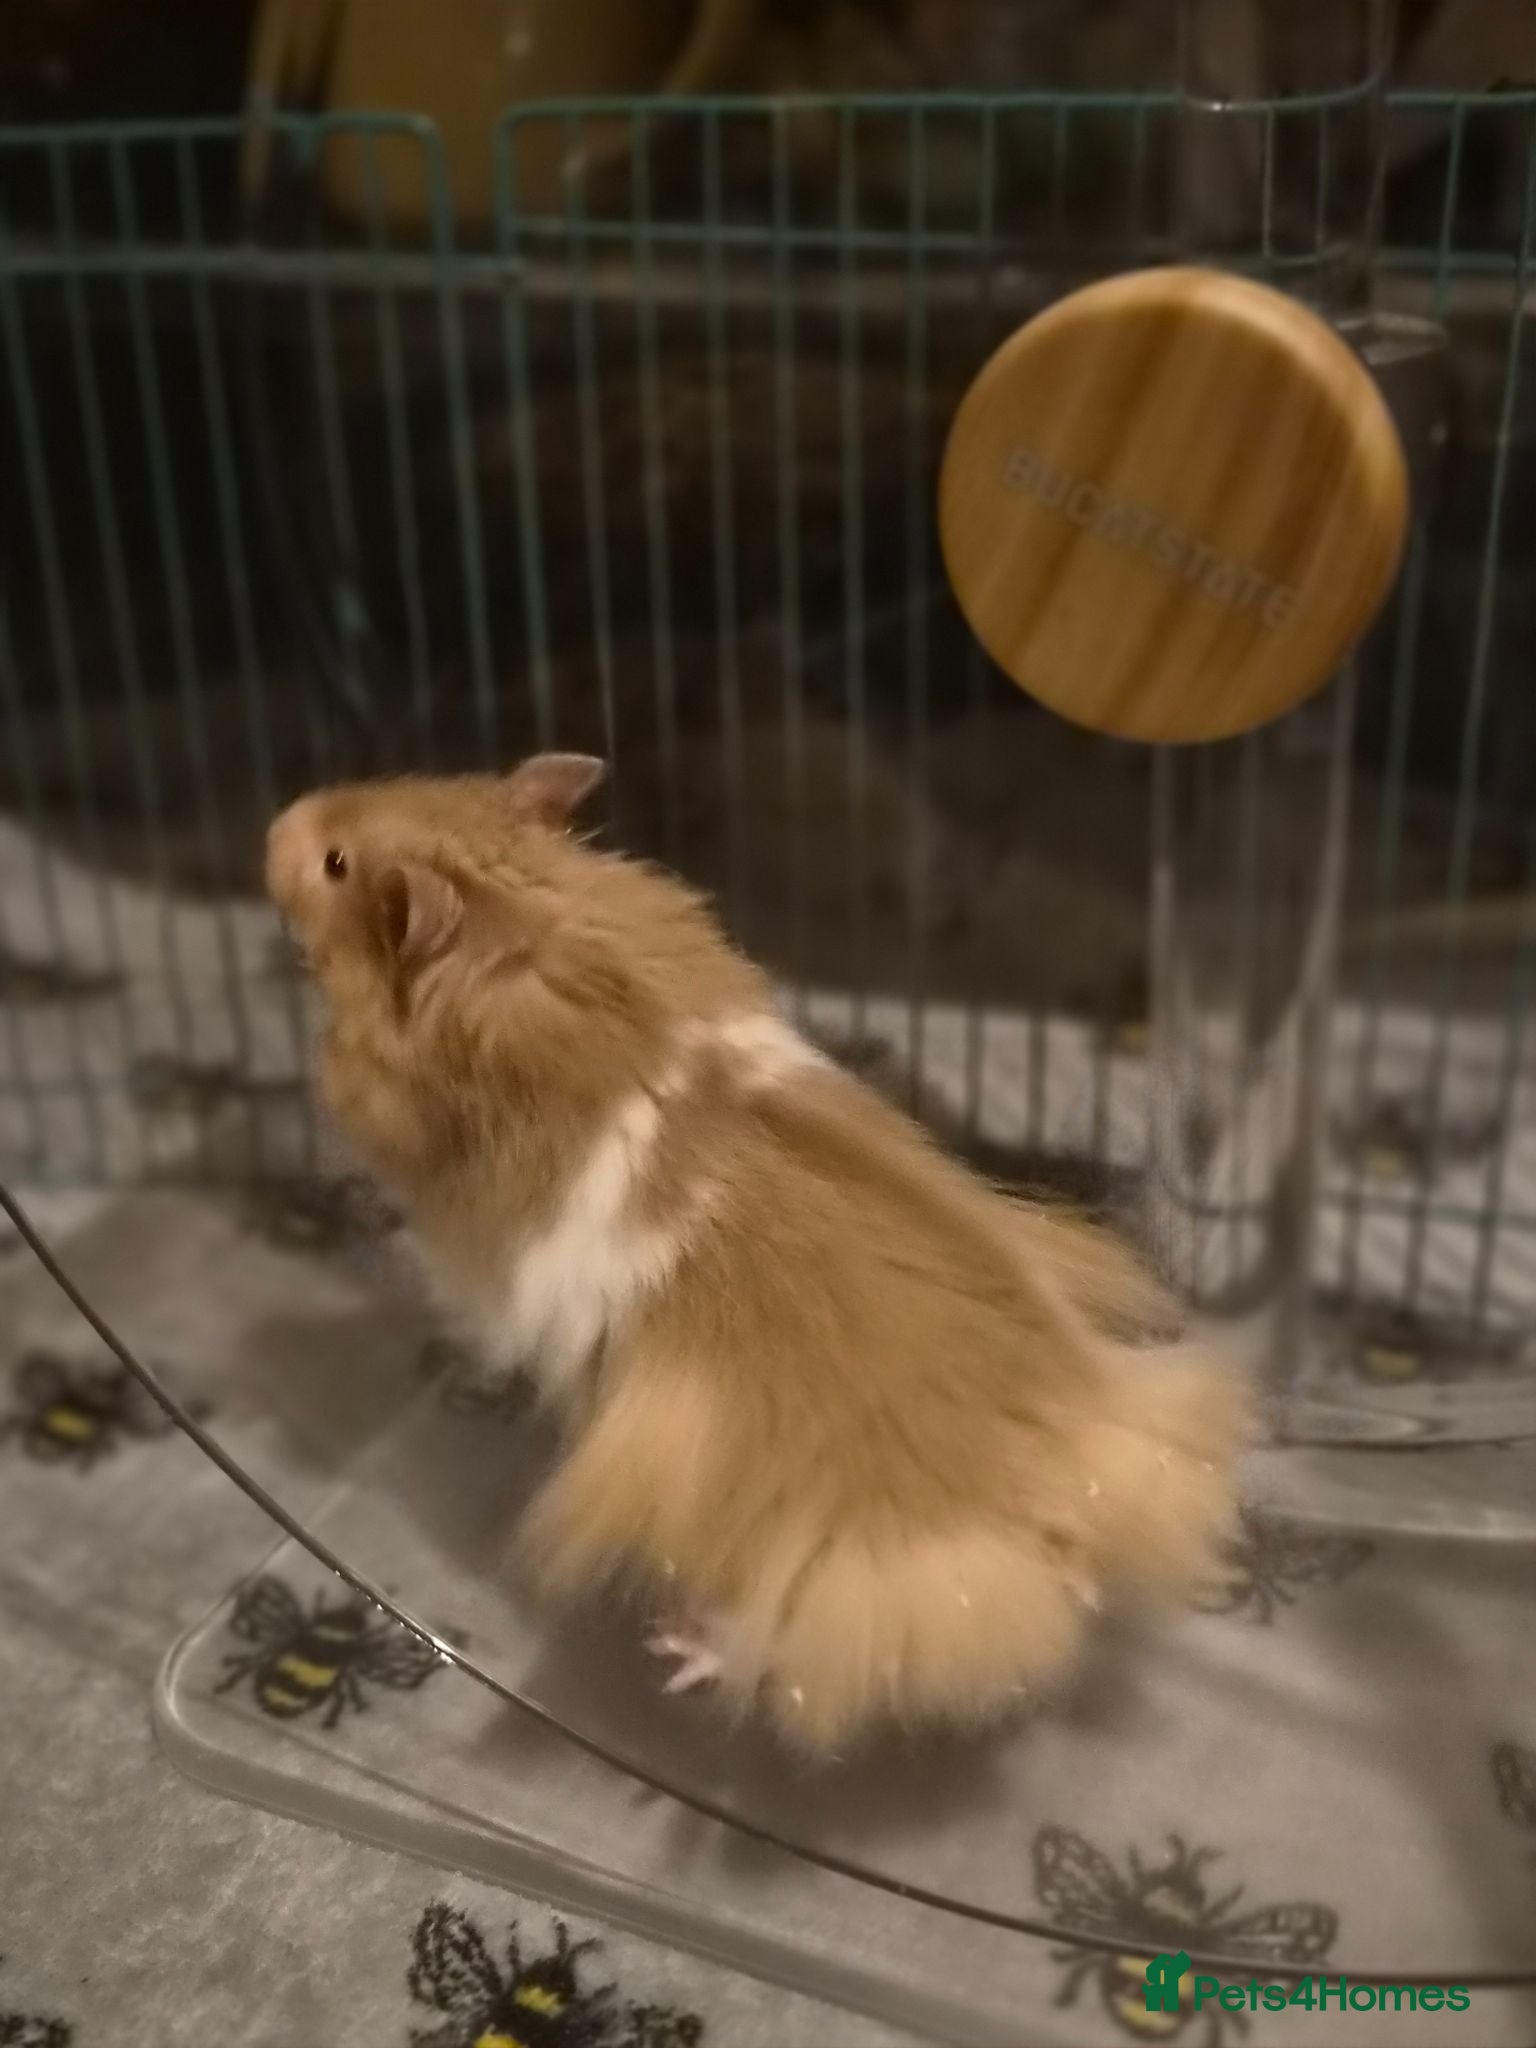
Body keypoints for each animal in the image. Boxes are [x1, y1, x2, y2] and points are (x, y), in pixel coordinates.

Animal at [266, 753, 1249, 1754]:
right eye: (421, 776)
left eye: (337, 865)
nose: (277, 823)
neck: (525, 921)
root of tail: (1051, 1477)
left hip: (811, 1568)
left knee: (777, 1641)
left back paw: (680, 1654)